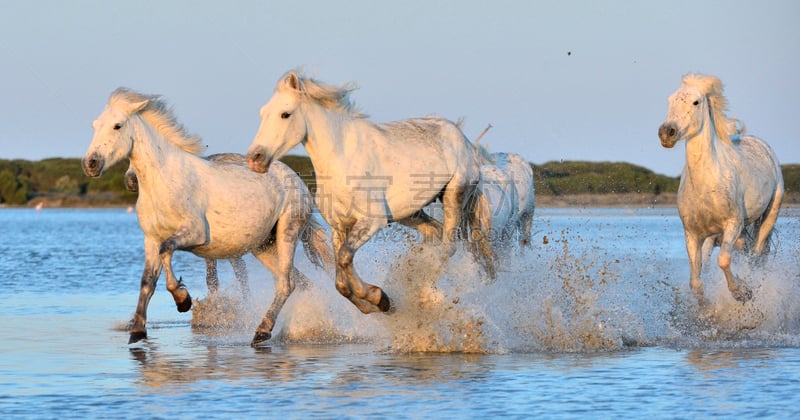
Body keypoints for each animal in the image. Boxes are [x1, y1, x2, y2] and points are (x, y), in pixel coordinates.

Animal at [81, 88, 332, 344]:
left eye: (117, 126)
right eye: (95, 125)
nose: (91, 163)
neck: (163, 180)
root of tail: (298, 180)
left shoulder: (194, 233)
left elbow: (167, 251)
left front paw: (183, 301)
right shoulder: (150, 239)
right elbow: (147, 282)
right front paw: (138, 331)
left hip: (287, 232)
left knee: (286, 284)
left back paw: (263, 331)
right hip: (264, 246)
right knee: (299, 283)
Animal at [245, 71, 494, 316]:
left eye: (285, 114)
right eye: (262, 113)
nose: (255, 158)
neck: (342, 160)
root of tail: (465, 140)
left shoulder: (371, 221)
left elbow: (345, 258)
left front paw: (377, 297)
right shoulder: (339, 226)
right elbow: (340, 280)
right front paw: (375, 302)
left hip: (454, 195)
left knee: (448, 246)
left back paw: (424, 292)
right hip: (410, 214)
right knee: (435, 233)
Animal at [660, 73, 784, 306]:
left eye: (696, 102)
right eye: (669, 100)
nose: (666, 133)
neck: (707, 184)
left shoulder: (733, 224)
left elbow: (724, 260)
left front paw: (742, 292)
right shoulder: (693, 234)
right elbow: (696, 281)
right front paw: (705, 307)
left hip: (768, 217)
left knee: (755, 256)